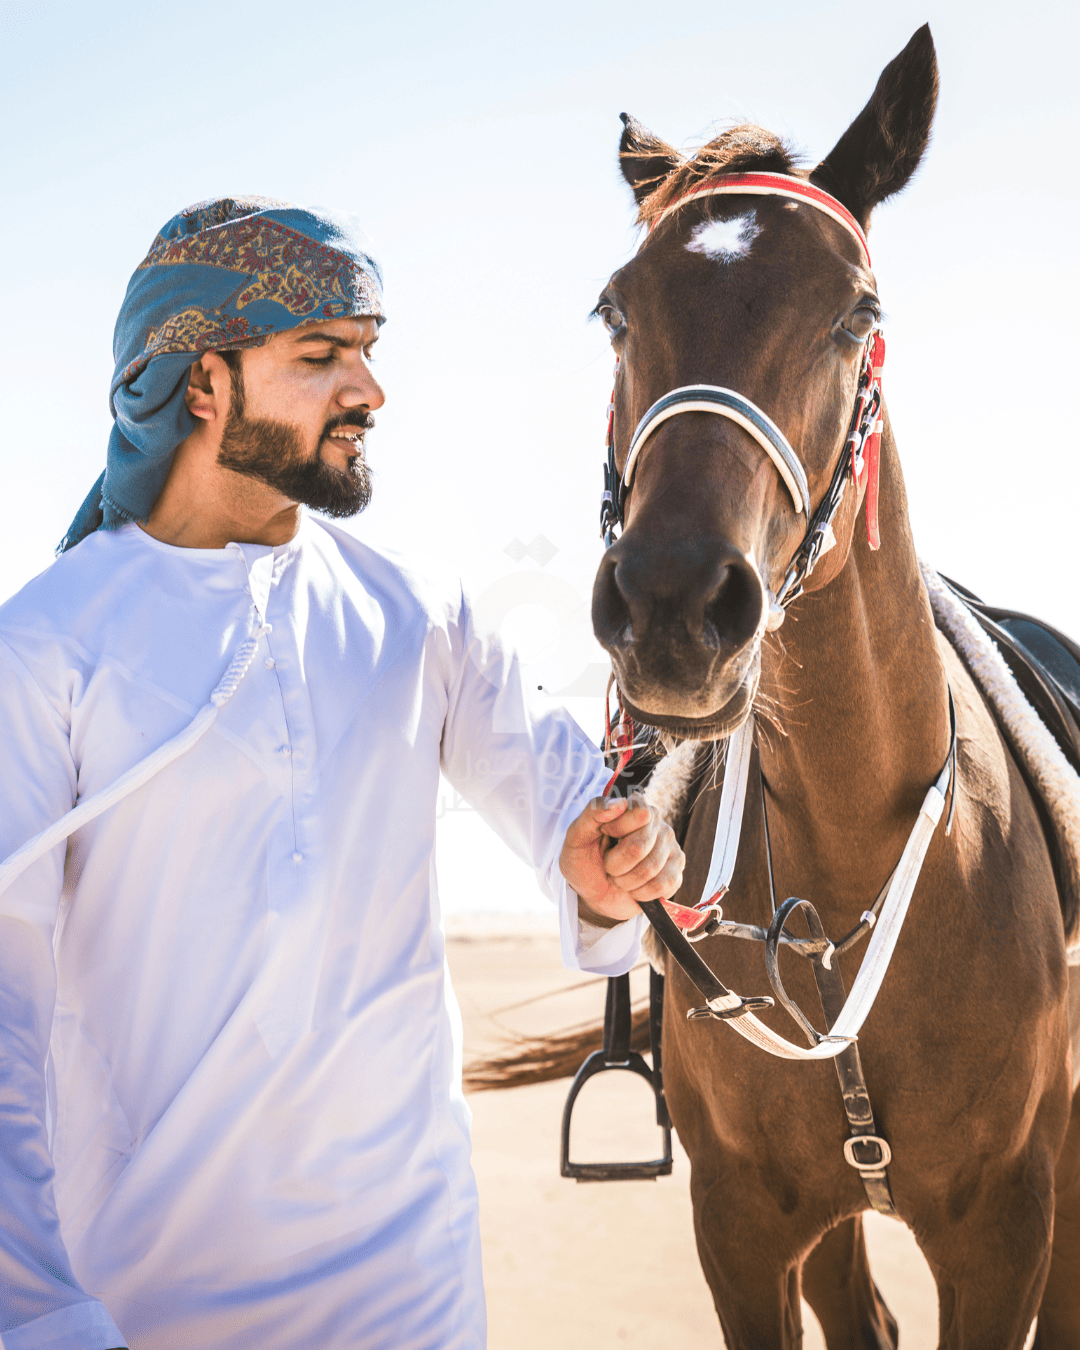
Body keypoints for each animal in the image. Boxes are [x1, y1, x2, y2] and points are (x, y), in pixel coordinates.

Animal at [474, 25, 1080, 1349]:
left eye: (858, 312)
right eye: (615, 309)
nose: (670, 606)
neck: (845, 887)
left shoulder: (1006, 1230)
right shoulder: (745, 1233)